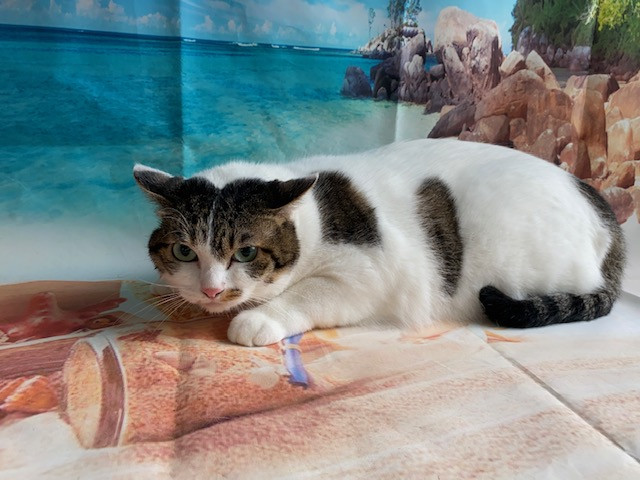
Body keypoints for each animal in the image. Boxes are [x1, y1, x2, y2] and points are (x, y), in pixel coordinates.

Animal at [134, 138, 625, 346]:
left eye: (246, 252)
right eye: (184, 251)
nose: (211, 290)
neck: (317, 213)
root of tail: (596, 201)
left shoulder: (374, 271)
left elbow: (309, 293)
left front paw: (259, 318)